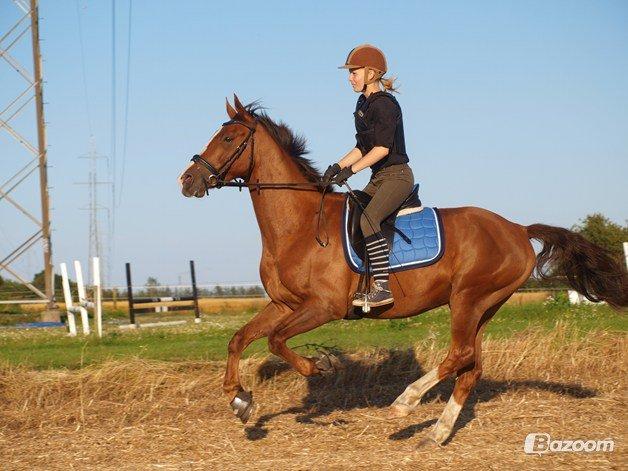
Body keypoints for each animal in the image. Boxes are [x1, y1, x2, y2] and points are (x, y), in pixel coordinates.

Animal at [178, 96, 628, 446]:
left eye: (228, 138)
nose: (187, 179)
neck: (300, 225)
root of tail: (517, 229)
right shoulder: (283, 303)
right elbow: (240, 339)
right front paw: (239, 399)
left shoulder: (322, 307)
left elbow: (274, 340)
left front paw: (318, 367)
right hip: (484, 307)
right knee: (471, 367)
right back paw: (437, 433)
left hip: (468, 300)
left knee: (459, 355)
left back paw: (404, 404)